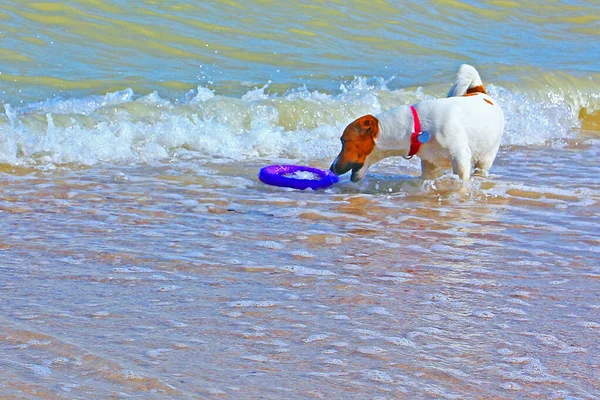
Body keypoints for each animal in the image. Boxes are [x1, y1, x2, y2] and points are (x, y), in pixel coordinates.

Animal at [330, 63, 504, 181]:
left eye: (344, 141)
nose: (331, 167)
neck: (415, 127)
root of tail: (480, 93)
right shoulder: (430, 164)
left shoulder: (461, 158)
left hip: (486, 157)